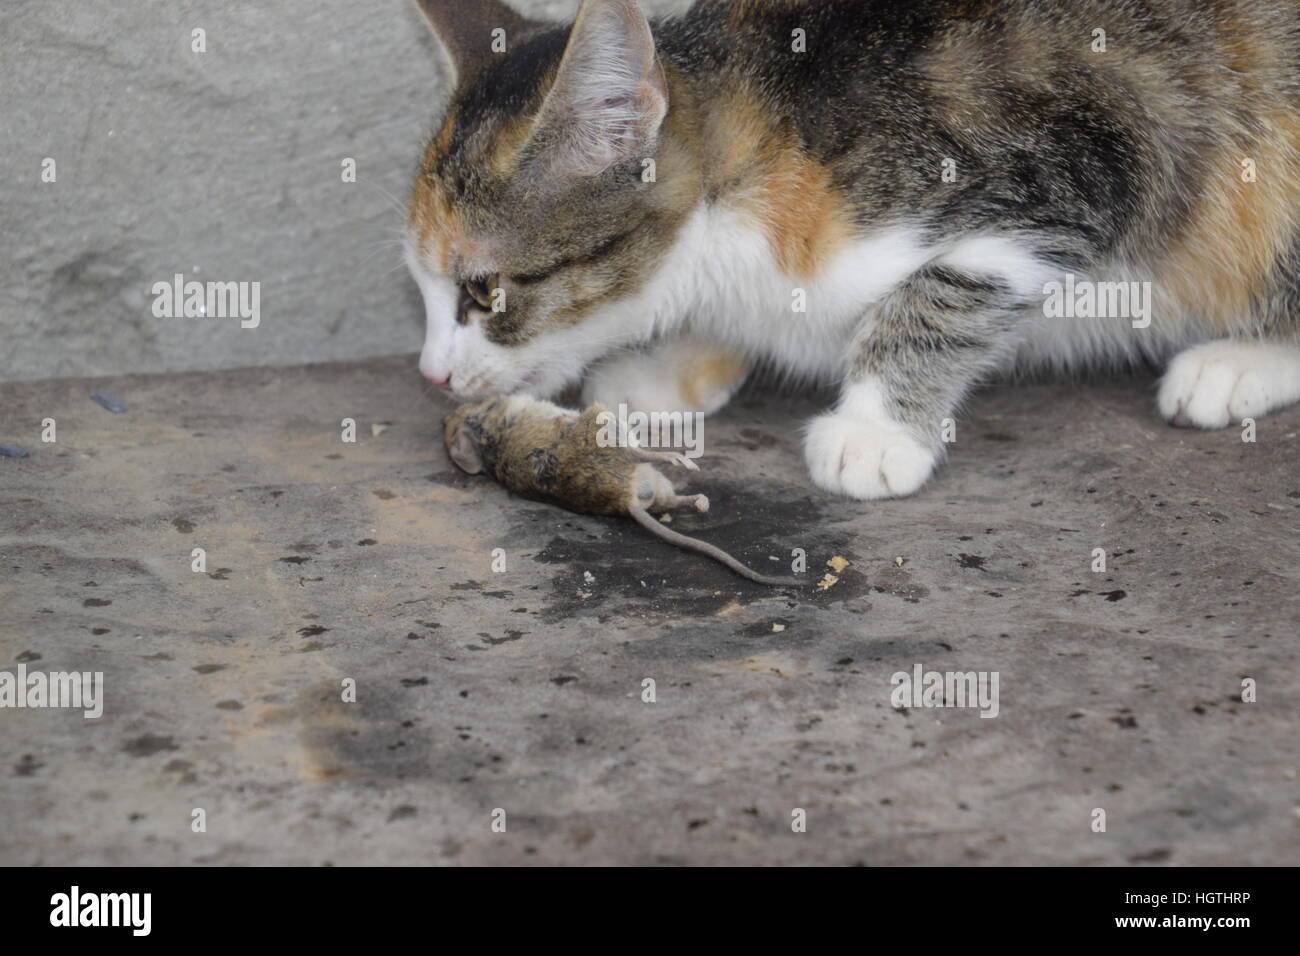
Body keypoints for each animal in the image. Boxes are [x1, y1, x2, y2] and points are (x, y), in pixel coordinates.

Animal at [405, 1, 1300, 502]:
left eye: (483, 291)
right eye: (421, 288)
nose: (432, 374)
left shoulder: (1084, 162)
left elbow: (945, 289)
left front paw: (877, 430)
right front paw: (672, 365)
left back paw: (1235, 364)